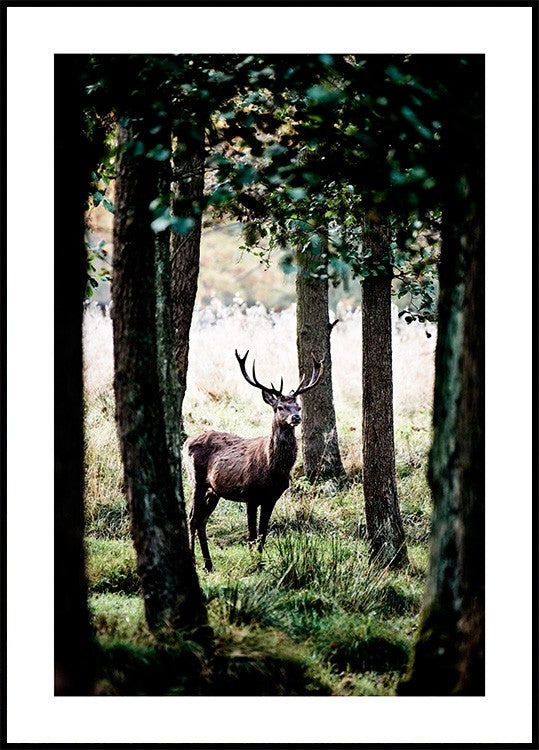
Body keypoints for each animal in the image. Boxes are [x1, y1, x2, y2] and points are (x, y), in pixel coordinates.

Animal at [183, 349, 324, 572]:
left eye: (298, 406)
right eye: (280, 407)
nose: (296, 418)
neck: (272, 470)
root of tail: (186, 442)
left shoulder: (271, 498)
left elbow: (263, 534)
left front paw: (259, 562)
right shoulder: (249, 494)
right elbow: (251, 534)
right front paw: (252, 564)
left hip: (214, 490)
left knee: (202, 520)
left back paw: (209, 564)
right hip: (196, 481)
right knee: (192, 519)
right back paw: (193, 560)